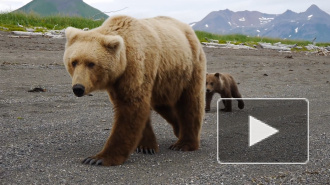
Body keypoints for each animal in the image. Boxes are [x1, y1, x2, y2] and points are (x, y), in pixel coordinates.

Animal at [62, 15, 205, 166]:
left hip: (189, 68)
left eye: (91, 63)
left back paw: (184, 143)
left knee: (191, 103)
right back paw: (178, 129)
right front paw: (146, 146)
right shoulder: (117, 83)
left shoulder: (136, 68)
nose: (78, 88)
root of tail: (189, 29)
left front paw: (98, 158)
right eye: (74, 62)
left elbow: (131, 109)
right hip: (163, 82)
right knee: (163, 105)